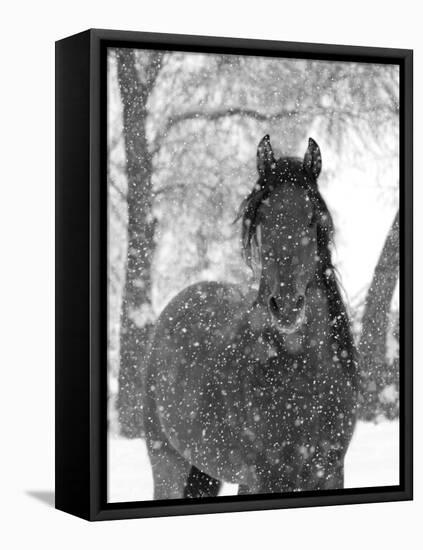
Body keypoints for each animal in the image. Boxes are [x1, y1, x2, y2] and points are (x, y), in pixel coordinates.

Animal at [144, 137, 360, 500]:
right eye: (263, 220)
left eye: (312, 220)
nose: (286, 307)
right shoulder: (268, 477)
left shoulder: (330, 473)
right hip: (168, 463)